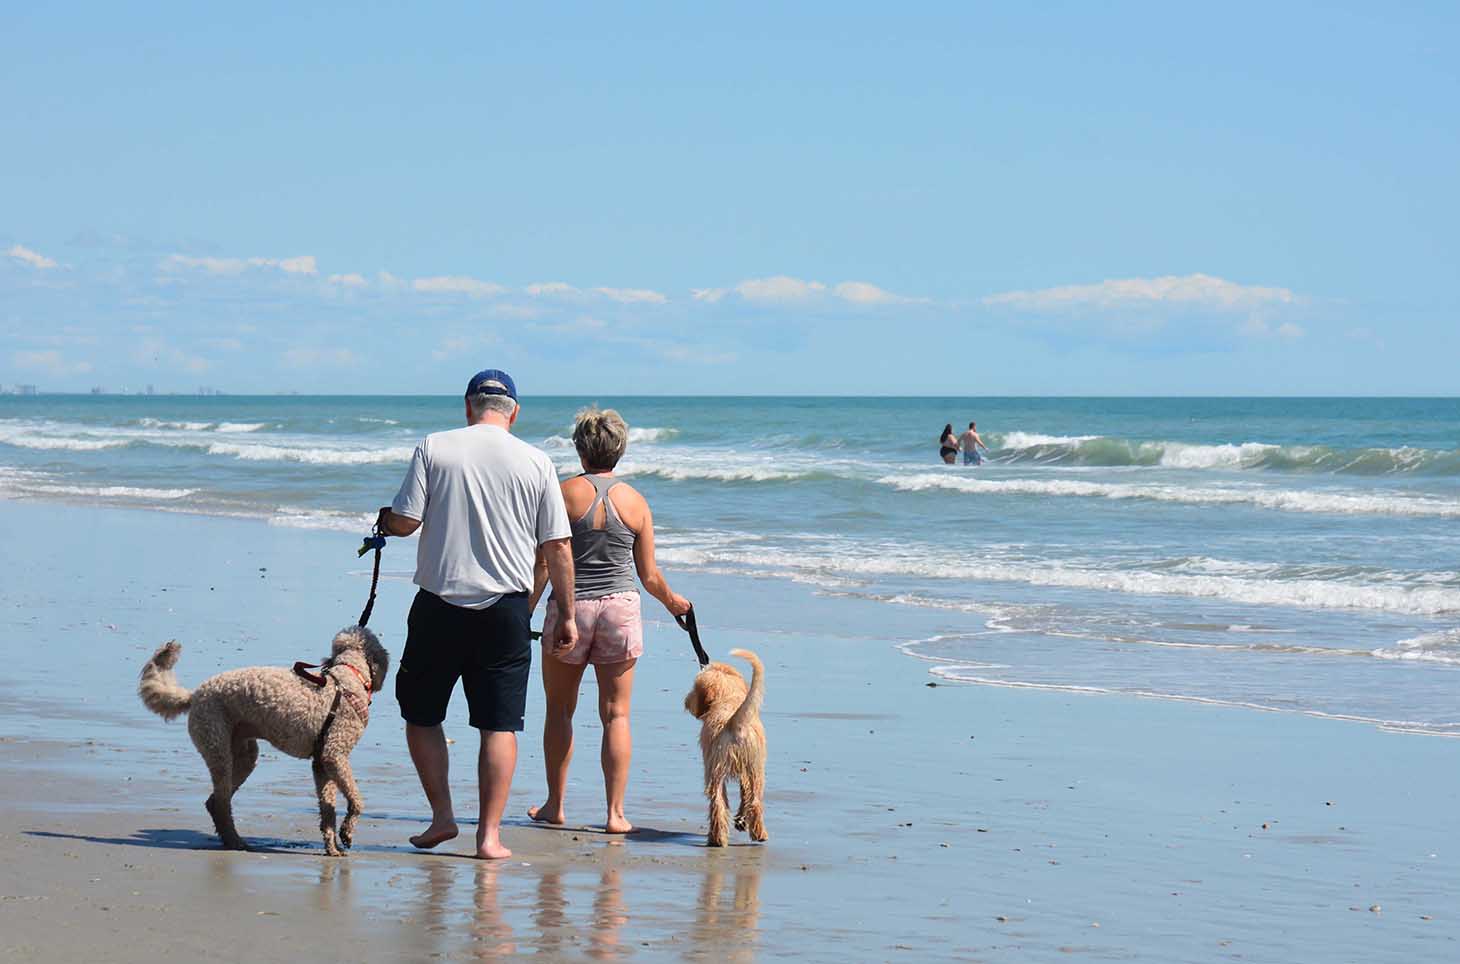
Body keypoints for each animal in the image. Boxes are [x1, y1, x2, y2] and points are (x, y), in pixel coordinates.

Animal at [683, 651, 770, 847]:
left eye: (694, 687)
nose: (686, 701)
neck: (729, 697)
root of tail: (736, 723)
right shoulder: (746, 772)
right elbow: (745, 793)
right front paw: (741, 820)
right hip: (756, 769)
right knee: (755, 800)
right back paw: (759, 833)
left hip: (714, 772)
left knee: (718, 803)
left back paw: (716, 838)